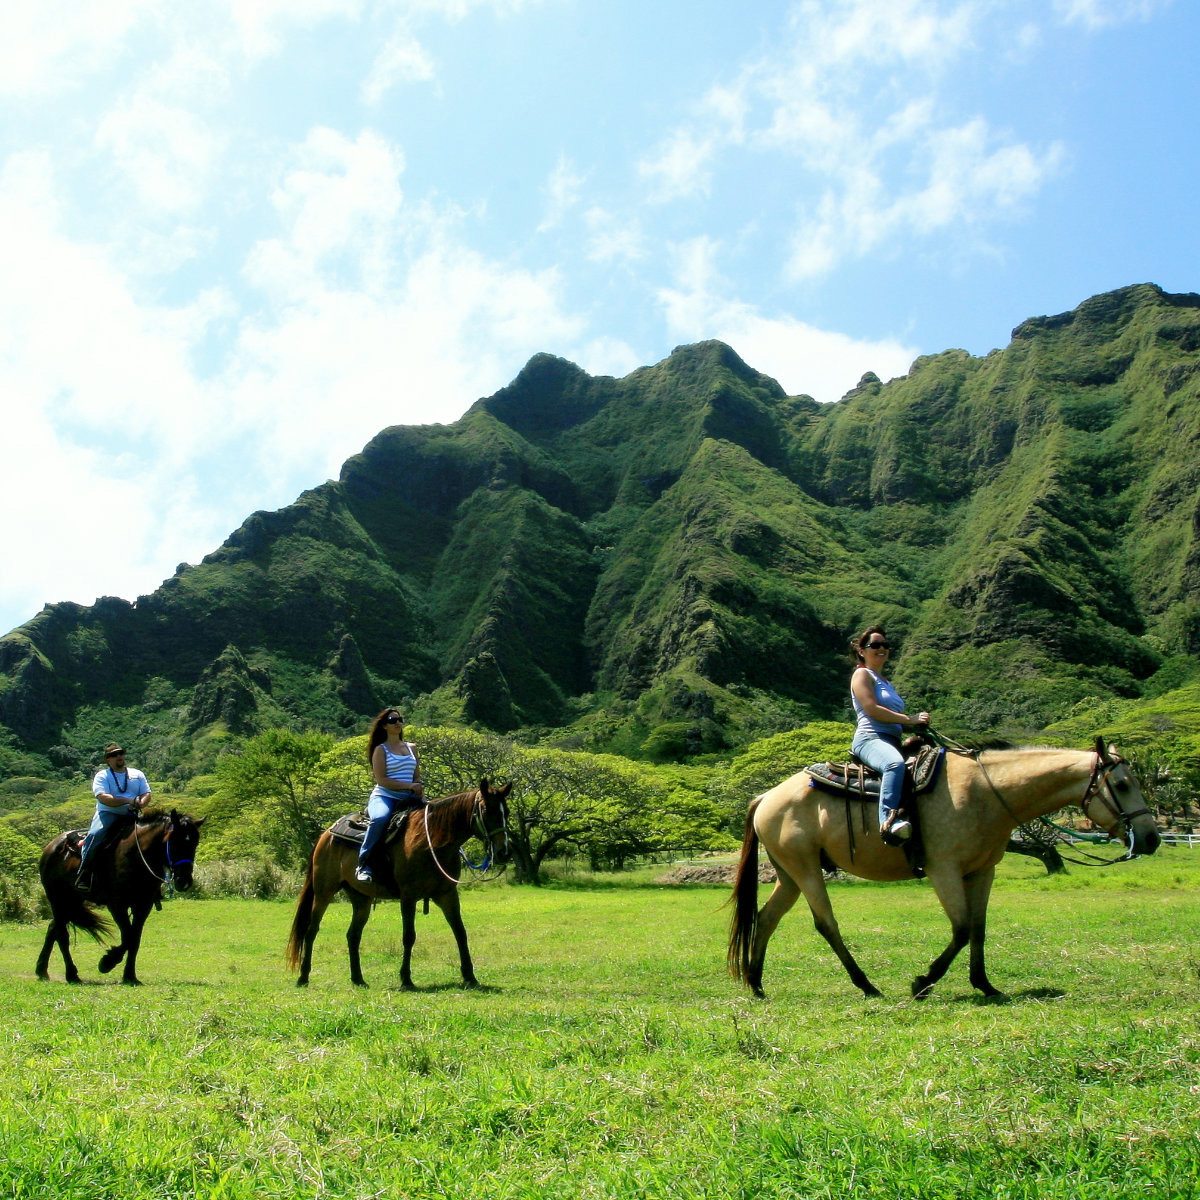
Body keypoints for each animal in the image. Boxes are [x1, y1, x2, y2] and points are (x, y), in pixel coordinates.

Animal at [34, 806, 204, 984]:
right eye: (175, 842)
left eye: (195, 843)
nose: (184, 881)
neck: (136, 855)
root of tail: (51, 846)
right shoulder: (117, 905)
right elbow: (128, 936)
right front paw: (107, 962)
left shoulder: (143, 905)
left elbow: (134, 939)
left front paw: (130, 976)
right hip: (58, 899)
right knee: (62, 935)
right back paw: (72, 975)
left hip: (72, 902)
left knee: (53, 928)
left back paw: (42, 970)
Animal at [290, 772, 516, 988]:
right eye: (486, 810)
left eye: (506, 812)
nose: (504, 852)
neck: (432, 841)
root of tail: (326, 834)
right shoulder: (408, 896)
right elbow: (409, 936)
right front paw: (406, 979)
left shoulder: (447, 894)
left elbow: (460, 932)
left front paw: (470, 976)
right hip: (324, 892)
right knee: (311, 930)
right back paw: (303, 977)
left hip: (361, 899)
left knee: (353, 935)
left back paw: (358, 979)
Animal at [729, 739, 1161, 1003]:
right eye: (1122, 784)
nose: (1151, 837)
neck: (987, 793)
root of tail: (766, 796)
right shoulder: (944, 870)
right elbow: (961, 928)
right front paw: (923, 982)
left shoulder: (982, 872)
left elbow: (979, 929)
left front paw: (985, 984)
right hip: (805, 871)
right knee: (826, 924)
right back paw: (867, 985)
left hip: (790, 875)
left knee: (766, 919)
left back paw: (757, 983)